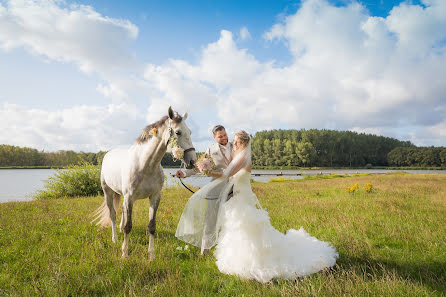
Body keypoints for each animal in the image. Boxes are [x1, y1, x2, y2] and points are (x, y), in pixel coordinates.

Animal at [93, 106, 196, 256]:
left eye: (190, 132)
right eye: (178, 132)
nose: (193, 161)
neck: (145, 165)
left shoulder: (154, 197)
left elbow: (151, 226)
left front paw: (151, 255)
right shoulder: (129, 198)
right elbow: (128, 226)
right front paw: (124, 253)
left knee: (122, 211)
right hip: (108, 193)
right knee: (112, 214)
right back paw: (115, 238)